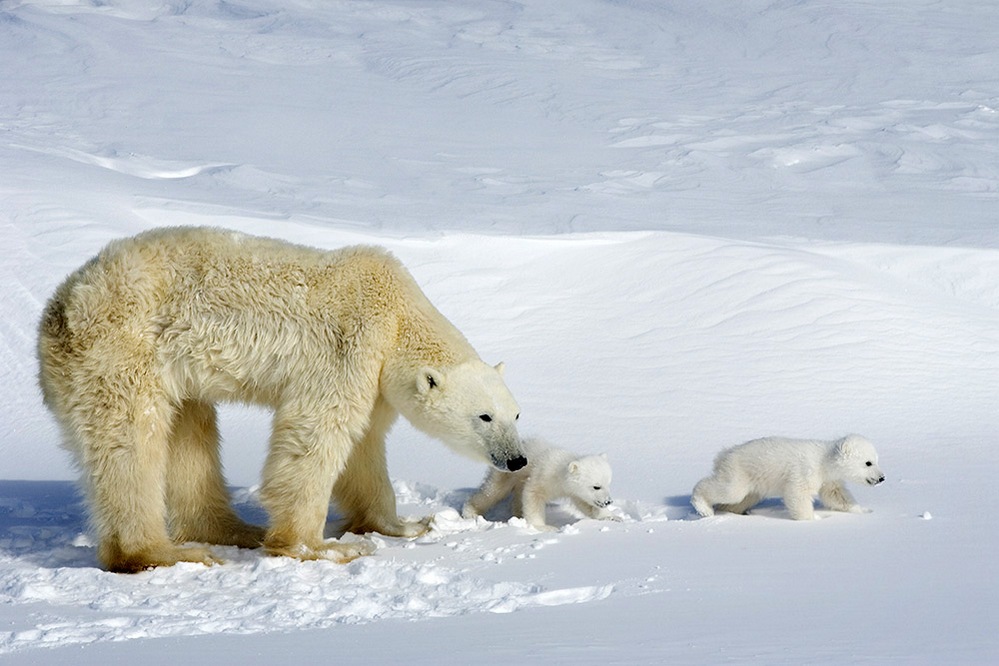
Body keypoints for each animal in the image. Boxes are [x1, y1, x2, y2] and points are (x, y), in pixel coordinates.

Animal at [37, 226, 527, 572]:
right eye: (485, 417)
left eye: (517, 414)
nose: (517, 459)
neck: (397, 314)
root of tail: (57, 310)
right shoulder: (348, 345)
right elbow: (317, 431)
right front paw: (320, 548)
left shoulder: (374, 379)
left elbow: (364, 446)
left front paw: (405, 525)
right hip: (121, 354)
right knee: (132, 447)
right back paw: (164, 553)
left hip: (170, 373)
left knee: (189, 433)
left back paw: (234, 530)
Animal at [462, 438, 618, 531]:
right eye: (596, 486)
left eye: (608, 483)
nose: (608, 501)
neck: (559, 472)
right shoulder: (543, 475)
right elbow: (533, 495)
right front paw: (544, 528)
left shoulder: (573, 491)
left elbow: (585, 503)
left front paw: (612, 517)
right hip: (506, 474)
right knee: (492, 491)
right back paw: (470, 512)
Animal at [690, 434, 885, 520]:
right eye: (868, 463)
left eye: (877, 460)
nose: (882, 478)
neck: (823, 460)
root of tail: (724, 455)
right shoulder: (805, 470)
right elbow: (798, 493)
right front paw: (813, 519)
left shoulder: (828, 480)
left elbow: (836, 495)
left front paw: (863, 510)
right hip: (739, 472)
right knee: (729, 490)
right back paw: (704, 508)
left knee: (740, 499)